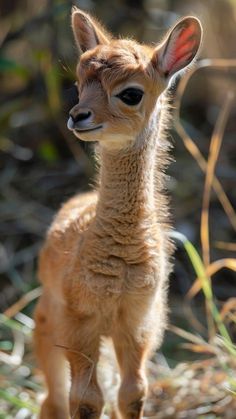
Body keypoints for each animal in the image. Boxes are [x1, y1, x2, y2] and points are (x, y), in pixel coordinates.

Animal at [34, 8, 202, 419]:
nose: (78, 116)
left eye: (130, 93)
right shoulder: (79, 322)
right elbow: (85, 399)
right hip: (46, 325)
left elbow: (132, 393)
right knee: (53, 399)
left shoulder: (138, 322)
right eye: (79, 84)